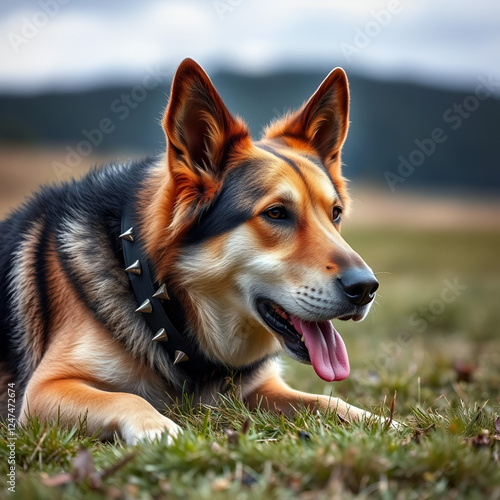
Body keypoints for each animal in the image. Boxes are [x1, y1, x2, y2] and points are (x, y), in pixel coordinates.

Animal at [0, 58, 382, 446]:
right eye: (276, 213)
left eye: (335, 214)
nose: (366, 288)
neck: (154, 294)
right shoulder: (43, 390)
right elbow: (127, 397)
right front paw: (160, 430)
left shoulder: (259, 388)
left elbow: (328, 401)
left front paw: (386, 424)